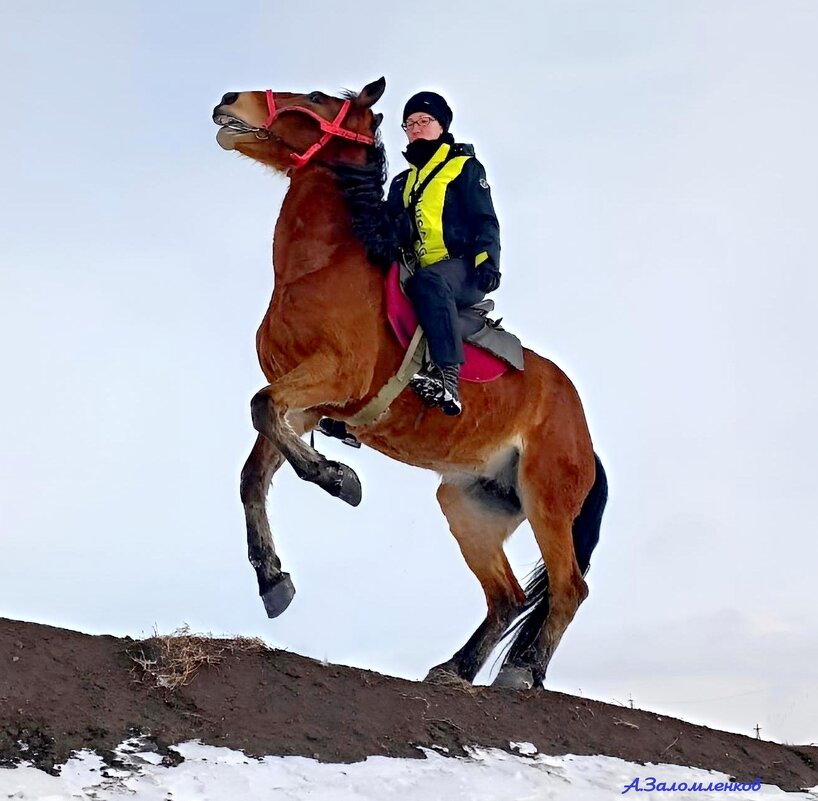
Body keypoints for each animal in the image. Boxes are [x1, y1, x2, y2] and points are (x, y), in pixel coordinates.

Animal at [210, 76, 604, 688]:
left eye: (317, 98)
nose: (229, 101)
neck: (322, 266)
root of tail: (585, 437)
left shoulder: (334, 376)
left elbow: (259, 408)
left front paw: (338, 479)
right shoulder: (307, 402)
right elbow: (256, 466)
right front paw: (273, 579)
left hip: (547, 502)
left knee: (568, 589)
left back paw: (521, 672)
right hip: (468, 505)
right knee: (509, 597)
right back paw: (456, 669)